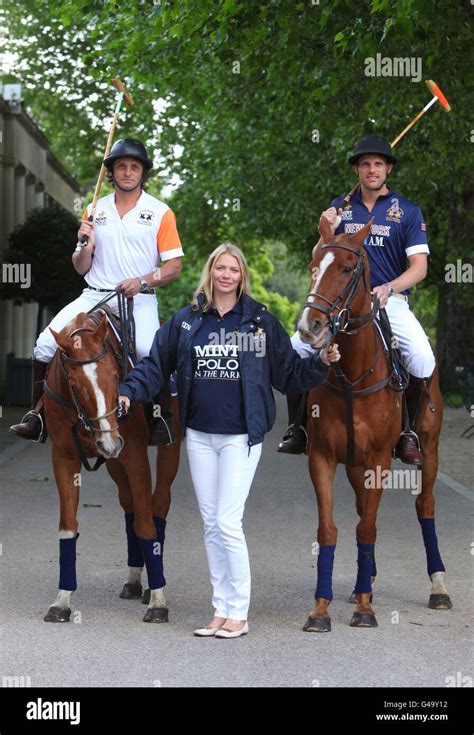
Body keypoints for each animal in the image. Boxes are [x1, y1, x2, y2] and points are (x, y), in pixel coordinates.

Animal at [41, 312, 181, 628]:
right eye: (75, 384)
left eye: (116, 377)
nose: (110, 441)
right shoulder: (64, 458)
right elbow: (67, 527)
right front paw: (61, 602)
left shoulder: (135, 456)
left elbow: (146, 524)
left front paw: (158, 603)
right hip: (114, 464)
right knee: (129, 507)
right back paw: (133, 581)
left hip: (167, 449)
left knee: (158, 504)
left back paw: (151, 587)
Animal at [298, 218, 450, 632]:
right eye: (313, 267)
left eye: (347, 269)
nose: (310, 326)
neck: (352, 374)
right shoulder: (322, 457)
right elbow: (330, 528)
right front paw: (321, 609)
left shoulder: (380, 458)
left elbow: (368, 526)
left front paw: (365, 609)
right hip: (354, 465)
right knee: (361, 506)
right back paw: (362, 582)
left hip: (429, 449)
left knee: (426, 505)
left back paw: (438, 587)